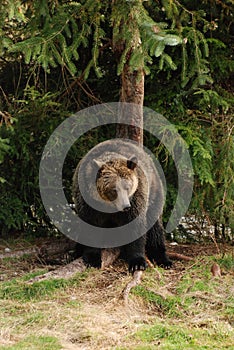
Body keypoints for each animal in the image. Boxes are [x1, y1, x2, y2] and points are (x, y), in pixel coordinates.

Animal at [72, 137, 172, 274]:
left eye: (127, 187)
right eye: (114, 190)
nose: (125, 206)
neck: (109, 206)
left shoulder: (136, 198)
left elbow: (135, 227)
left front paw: (137, 263)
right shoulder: (88, 202)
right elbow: (91, 226)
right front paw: (93, 259)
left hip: (154, 193)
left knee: (155, 228)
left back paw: (164, 259)